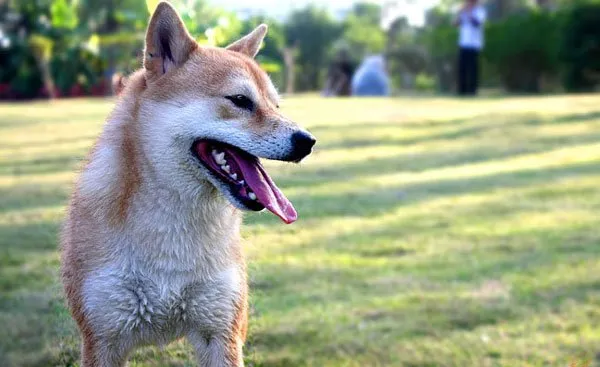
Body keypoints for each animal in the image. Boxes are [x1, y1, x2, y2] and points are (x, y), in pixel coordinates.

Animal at [59, 1, 314, 366]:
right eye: (240, 100)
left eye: (275, 105)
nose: (307, 141)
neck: (173, 234)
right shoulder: (103, 340)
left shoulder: (222, 333)